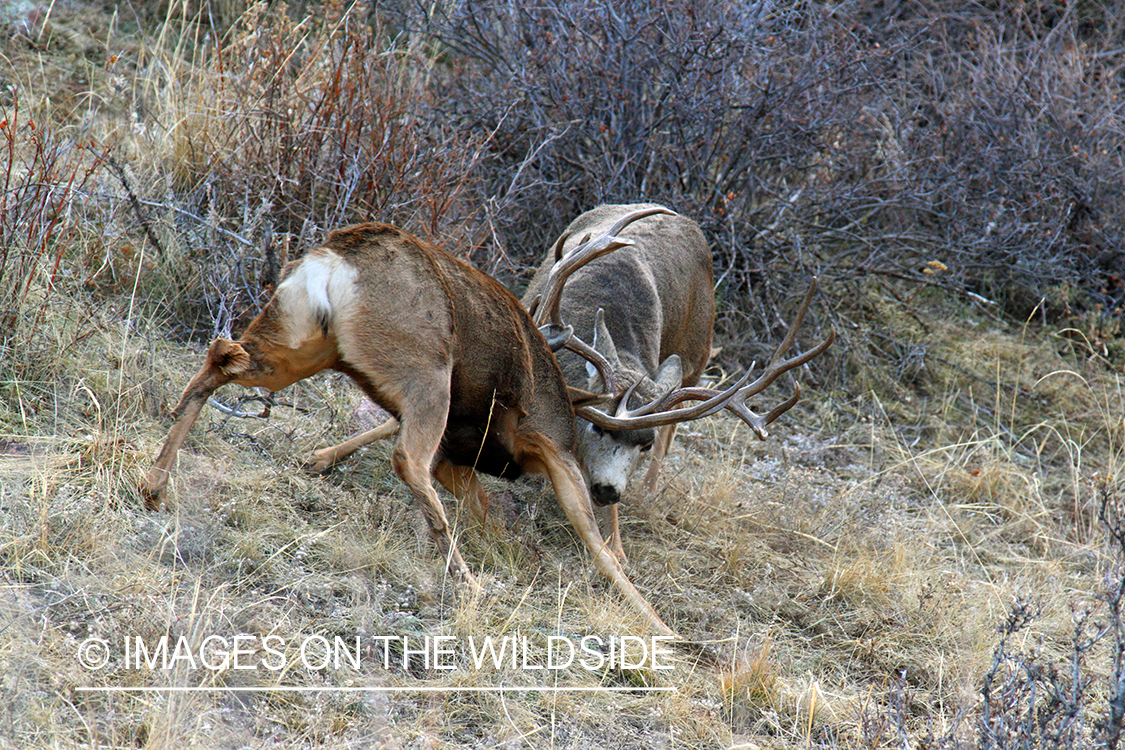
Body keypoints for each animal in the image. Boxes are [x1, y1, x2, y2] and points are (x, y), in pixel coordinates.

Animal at [140, 214, 682, 638]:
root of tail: (336, 259)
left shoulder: (464, 454)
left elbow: (485, 506)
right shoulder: (547, 439)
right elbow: (589, 532)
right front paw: (661, 626)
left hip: (297, 342)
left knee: (217, 359)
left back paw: (155, 486)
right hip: (427, 373)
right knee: (408, 459)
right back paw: (469, 581)